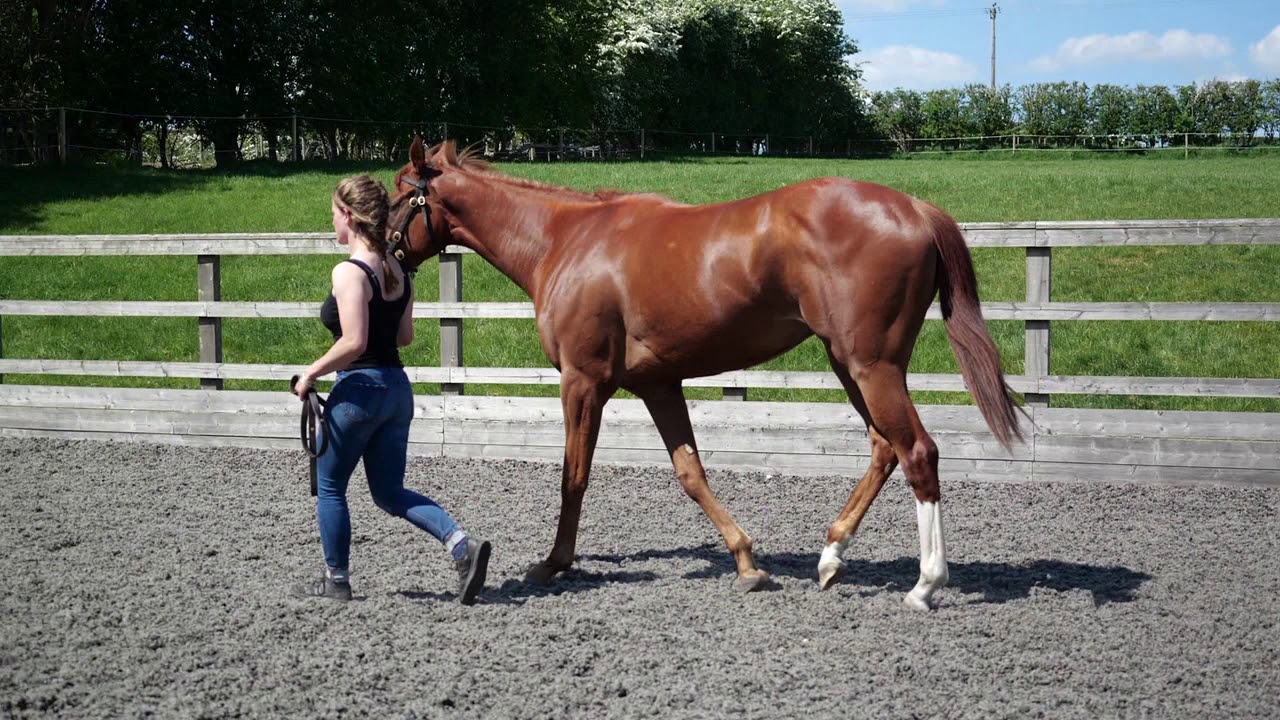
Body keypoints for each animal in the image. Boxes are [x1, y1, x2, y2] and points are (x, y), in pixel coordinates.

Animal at [388, 137, 1022, 610]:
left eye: (396, 195)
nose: (379, 250)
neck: (565, 242)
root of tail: (915, 208)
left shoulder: (583, 381)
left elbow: (574, 475)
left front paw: (553, 563)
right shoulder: (658, 384)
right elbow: (690, 473)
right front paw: (747, 562)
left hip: (872, 366)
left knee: (917, 451)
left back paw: (925, 585)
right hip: (849, 364)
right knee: (884, 448)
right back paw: (831, 557)